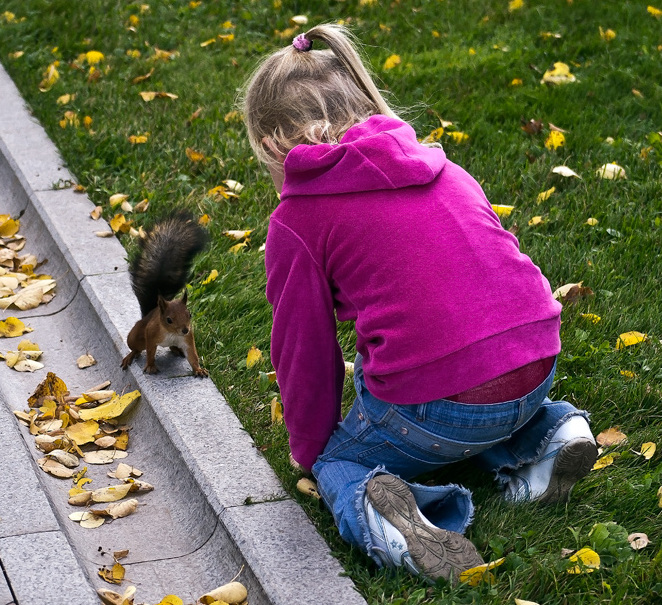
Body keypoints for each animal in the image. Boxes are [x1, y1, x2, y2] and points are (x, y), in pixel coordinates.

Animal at [122, 210, 209, 376]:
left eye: (189, 315)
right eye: (169, 320)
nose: (185, 329)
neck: (173, 334)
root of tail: (150, 313)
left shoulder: (188, 340)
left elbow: (193, 356)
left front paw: (198, 369)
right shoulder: (151, 333)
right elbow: (150, 352)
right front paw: (150, 366)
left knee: (174, 347)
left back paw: (176, 349)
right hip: (136, 335)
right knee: (137, 347)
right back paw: (131, 355)